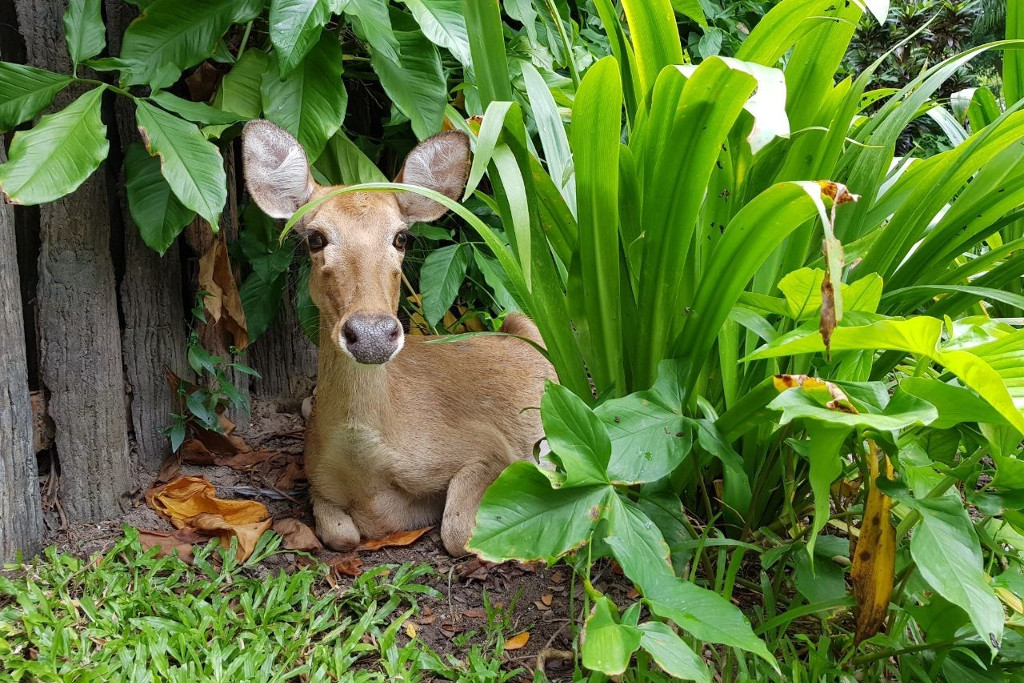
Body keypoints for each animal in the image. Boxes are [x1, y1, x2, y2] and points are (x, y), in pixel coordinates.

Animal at [241, 118, 552, 557]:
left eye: (401, 237)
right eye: (315, 237)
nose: (371, 334)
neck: (369, 461)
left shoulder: (488, 446)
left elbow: (458, 532)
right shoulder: (316, 476)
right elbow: (341, 534)